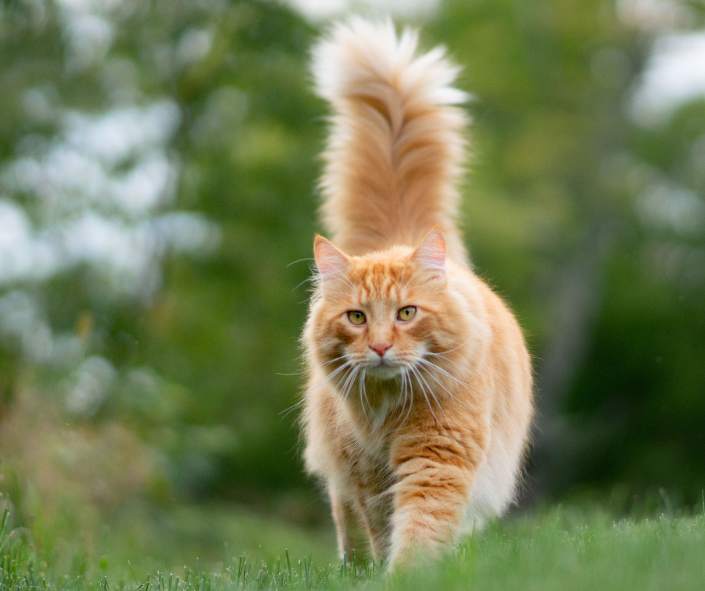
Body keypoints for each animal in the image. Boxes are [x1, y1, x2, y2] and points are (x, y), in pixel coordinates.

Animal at [300, 18, 534, 570]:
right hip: (339, 469)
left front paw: (412, 574)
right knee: (347, 524)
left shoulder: (438, 456)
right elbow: (383, 528)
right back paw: (353, 569)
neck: (390, 411)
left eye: (406, 313)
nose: (382, 346)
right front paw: (386, 571)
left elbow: (421, 527)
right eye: (358, 318)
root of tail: (400, 236)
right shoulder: (366, 473)